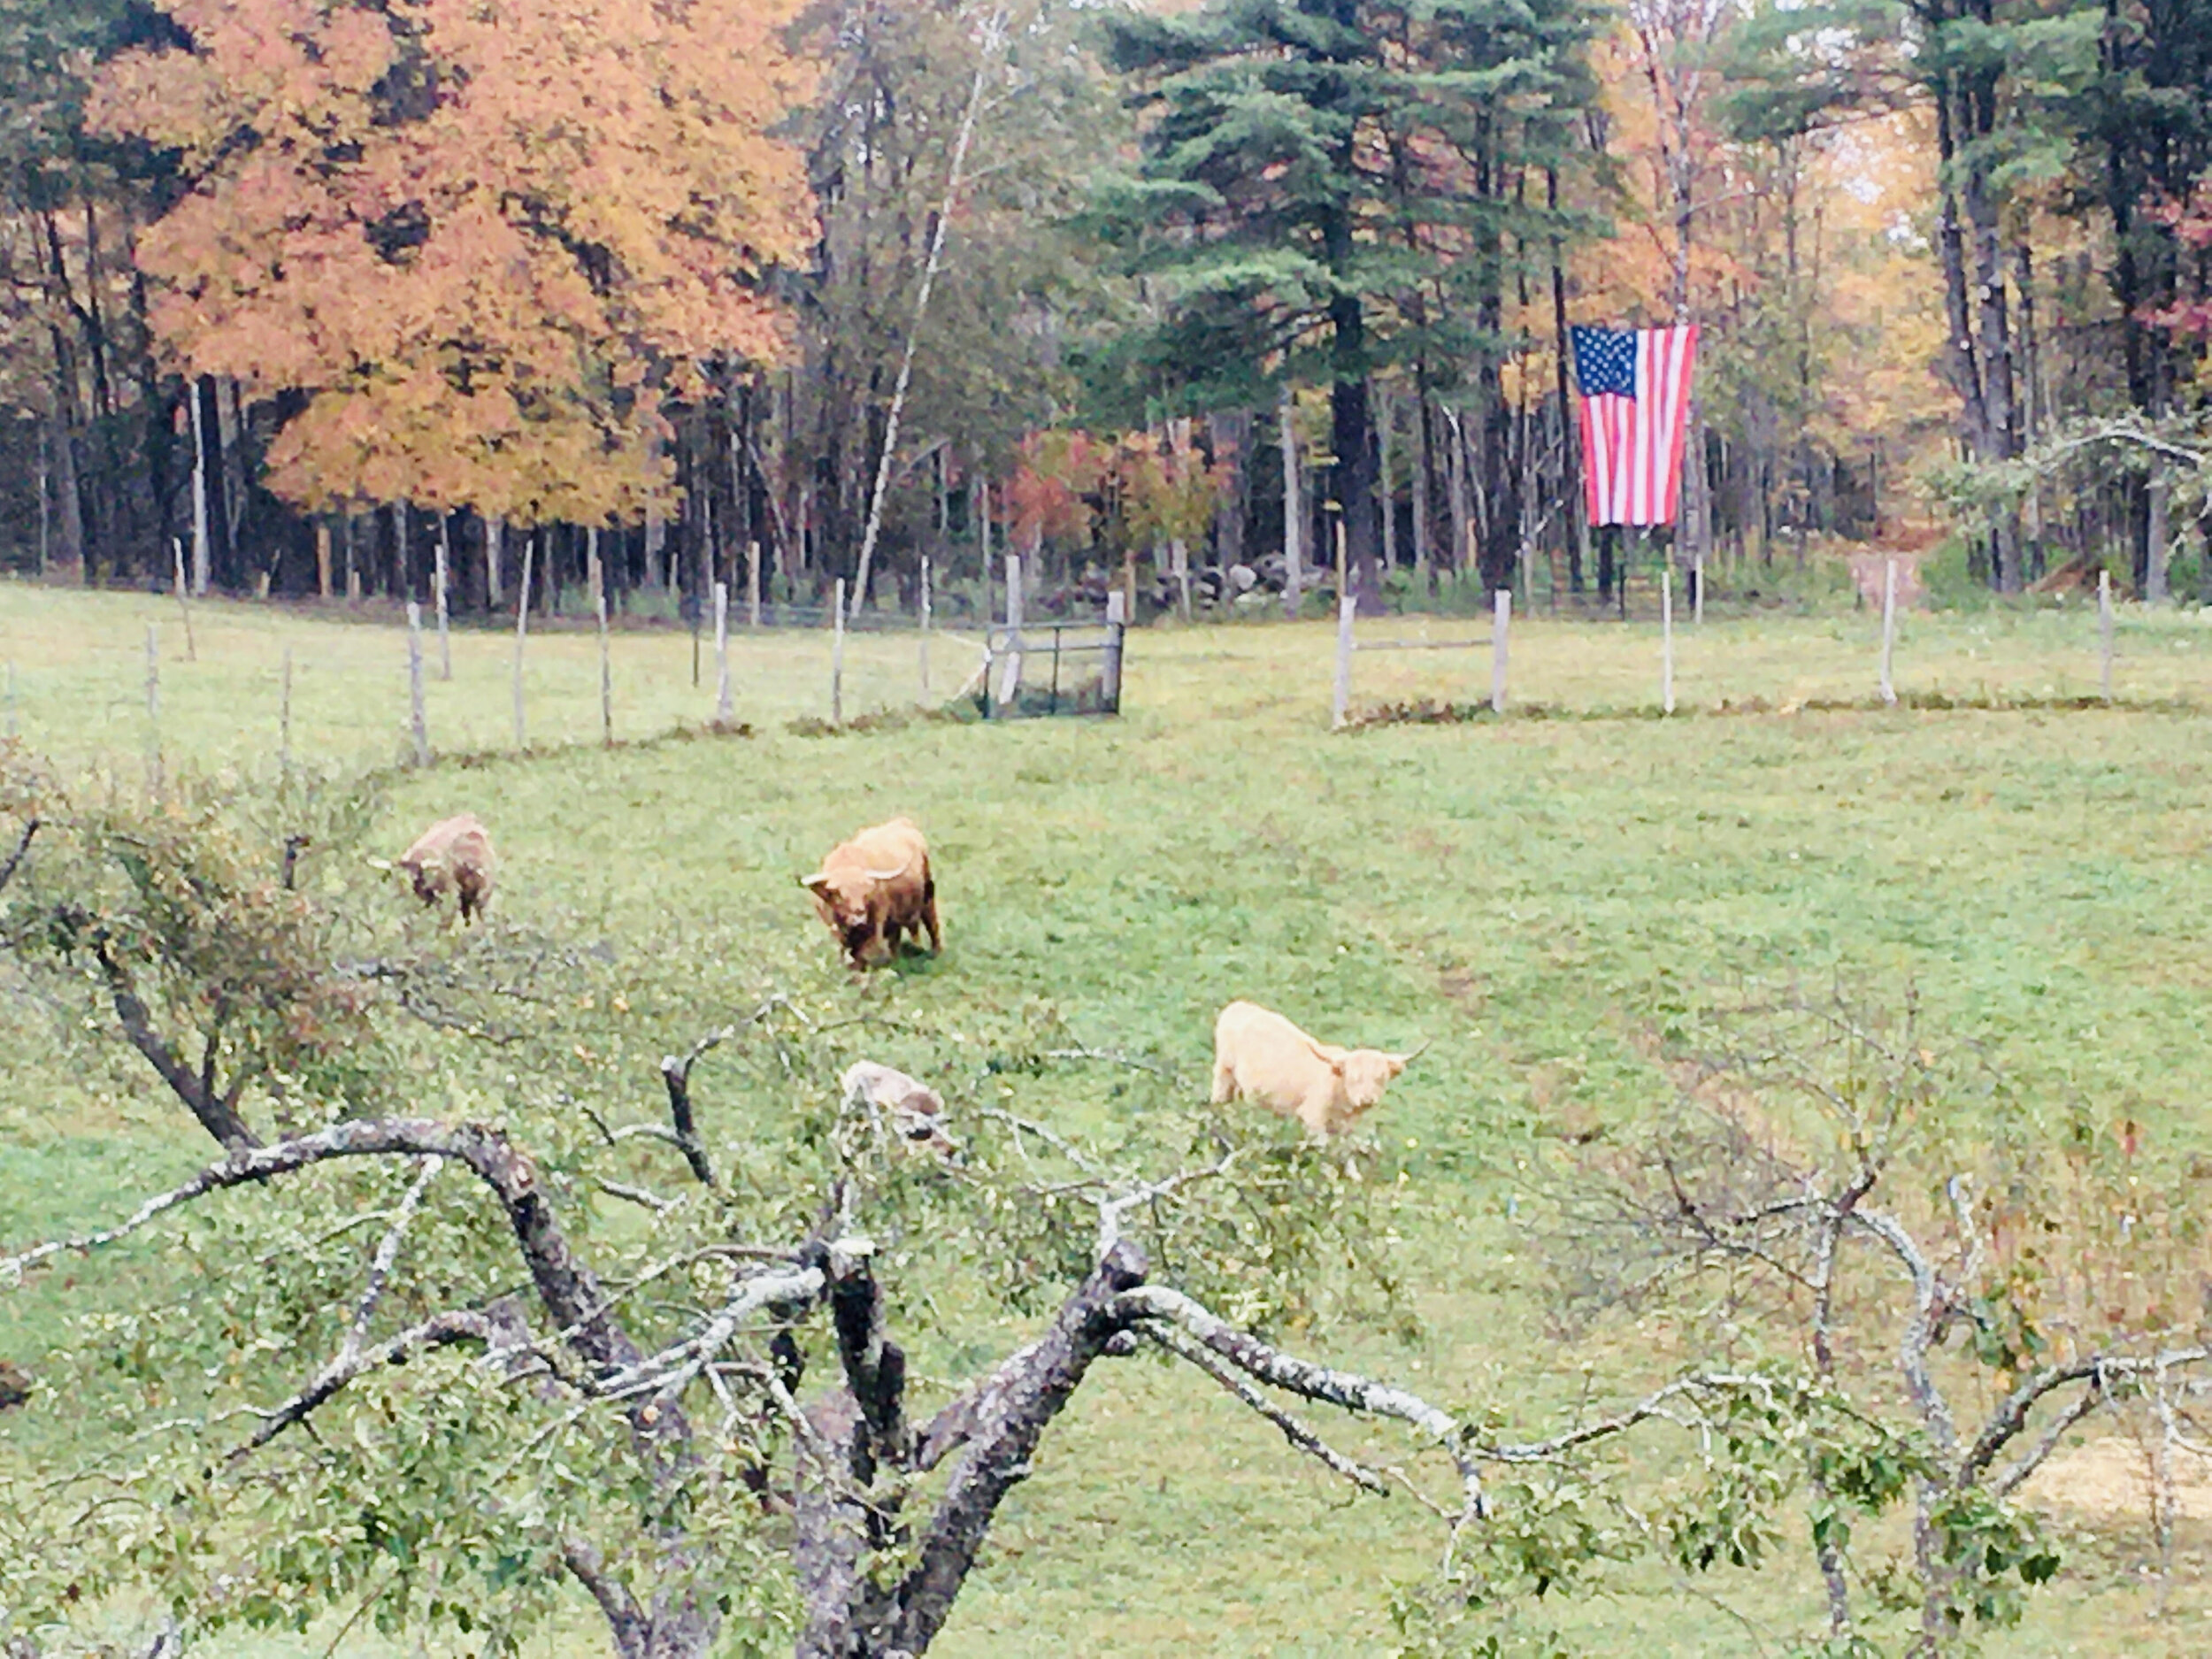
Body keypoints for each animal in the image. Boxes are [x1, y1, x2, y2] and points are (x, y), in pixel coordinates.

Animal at [801, 823, 938, 973]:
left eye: (866, 894)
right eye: (841, 896)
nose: (859, 917)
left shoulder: (876, 926)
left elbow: (863, 954)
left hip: (928, 897)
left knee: (932, 924)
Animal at [1212, 1000, 1416, 1141]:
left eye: (1381, 1078)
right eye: (1354, 1078)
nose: (1367, 1099)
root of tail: (1238, 1006)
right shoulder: (1313, 1117)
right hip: (1224, 1072)